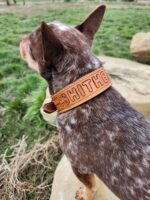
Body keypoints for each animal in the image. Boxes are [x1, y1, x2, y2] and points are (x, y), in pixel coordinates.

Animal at [19, 5, 150, 200]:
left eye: (29, 42)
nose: (21, 37)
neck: (83, 96)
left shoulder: (78, 165)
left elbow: (90, 185)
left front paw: (86, 194)